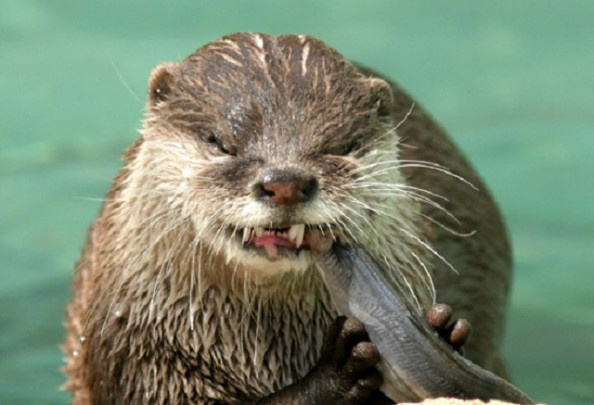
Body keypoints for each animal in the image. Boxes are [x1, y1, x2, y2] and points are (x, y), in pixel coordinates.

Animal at [62, 33, 512, 402]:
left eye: (340, 146)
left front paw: (446, 332)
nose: (285, 182)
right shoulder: (143, 363)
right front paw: (336, 371)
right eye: (220, 143)